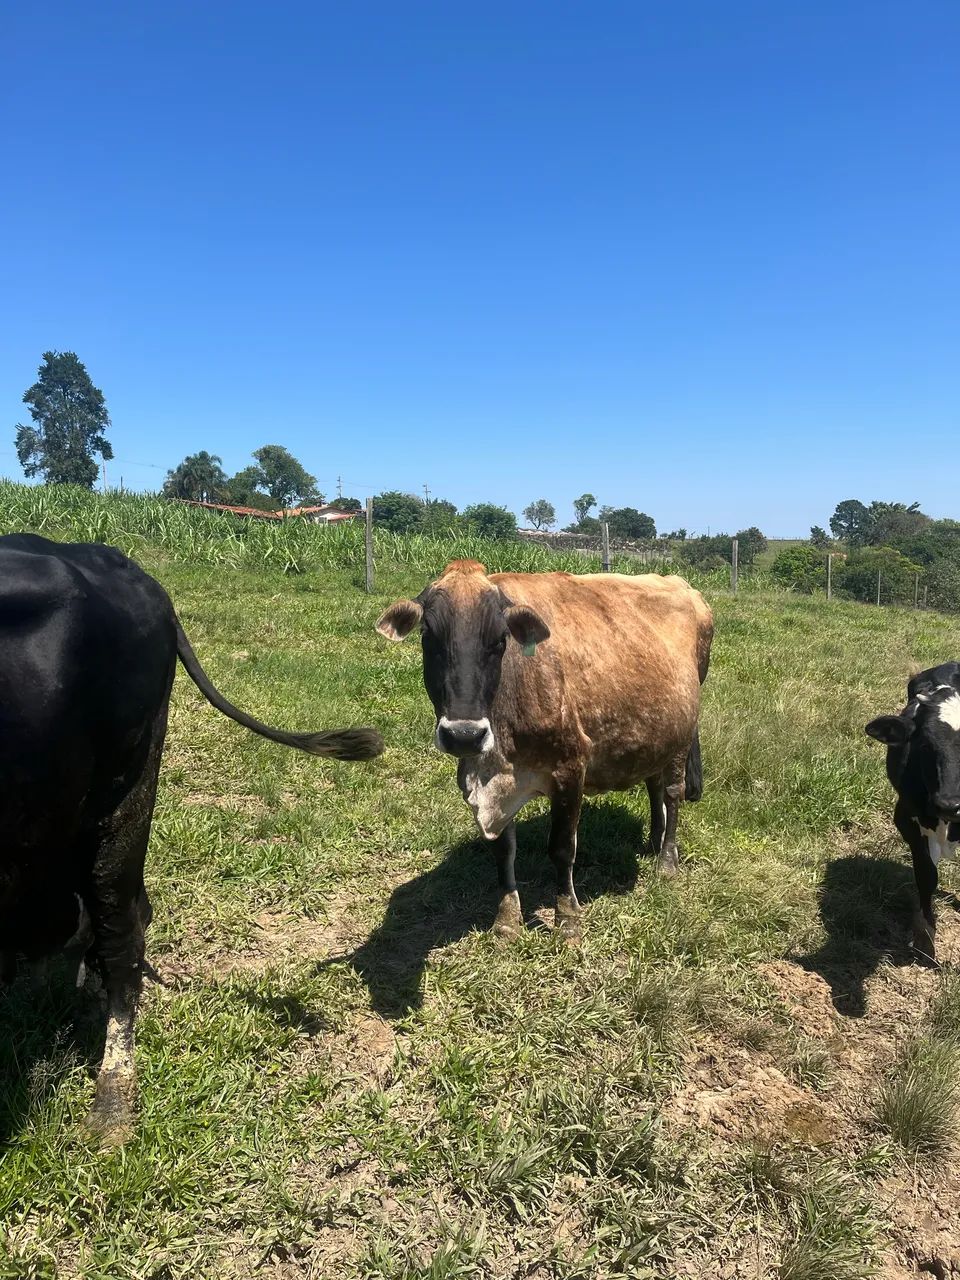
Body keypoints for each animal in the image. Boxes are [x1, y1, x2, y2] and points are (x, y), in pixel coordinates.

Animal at [376, 560, 712, 938]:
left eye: (500, 640)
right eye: (428, 637)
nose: (464, 735)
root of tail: (682, 584)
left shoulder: (571, 768)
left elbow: (562, 848)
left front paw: (567, 920)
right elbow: (504, 850)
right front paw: (507, 920)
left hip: (682, 735)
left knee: (672, 792)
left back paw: (667, 860)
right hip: (655, 733)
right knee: (654, 785)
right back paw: (654, 841)